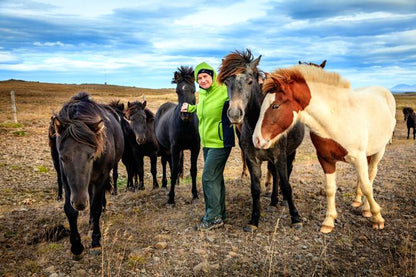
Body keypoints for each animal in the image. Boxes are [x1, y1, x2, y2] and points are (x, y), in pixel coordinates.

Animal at [52, 92, 123, 258]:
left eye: (91, 156)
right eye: (63, 157)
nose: (79, 202)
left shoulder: (101, 177)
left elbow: (95, 207)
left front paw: (96, 241)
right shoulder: (66, 179)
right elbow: (70, 210)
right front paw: (76, 246)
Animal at [156, 64, 202, 203]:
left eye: (193, 90)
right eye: (177, 91)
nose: (185, 114)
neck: (186, 126)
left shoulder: (195, 148)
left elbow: (193, 170)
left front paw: (195, 195)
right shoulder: (175, 148)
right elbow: (173, 169)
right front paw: (171, 198)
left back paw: (175, 182)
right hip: (163, 147)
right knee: (164, 163)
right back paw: (164, 184)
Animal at [218, 49, 306, 231]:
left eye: (250, 81)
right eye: (226, 82)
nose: (235, 114)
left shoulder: (280, 156)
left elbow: (286, 185)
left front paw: (296, 218)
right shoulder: (252, 159)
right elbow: (255, 189)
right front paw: (254, 220)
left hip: (291, 152)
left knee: (287, 172)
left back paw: (282, 200)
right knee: (274, 174)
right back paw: (273, 201)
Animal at [254, 63, 396, 232]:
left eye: (275, 106)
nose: (256, 139)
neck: (335, 118)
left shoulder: (358, 157)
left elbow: (367, 186)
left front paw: (377, 217)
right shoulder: (326, 160)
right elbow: (330, 189)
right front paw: (328, 221)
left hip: (378, 151)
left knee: (371, 175)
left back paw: (367, 209)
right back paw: (357, 200)